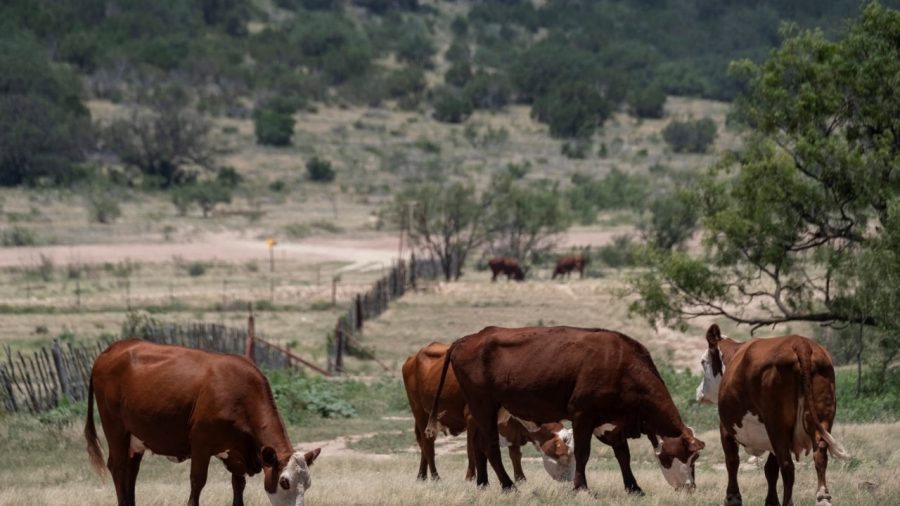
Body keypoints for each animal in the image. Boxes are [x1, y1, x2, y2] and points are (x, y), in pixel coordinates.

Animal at [85, 339, 322, 506]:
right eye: (284, 482)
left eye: (308, 483)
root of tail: (111, 350)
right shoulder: (201, 443)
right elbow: (197, 482)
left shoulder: (236, 452)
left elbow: (238, 487)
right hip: (115, 429)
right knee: (118, 468)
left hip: (137, 438)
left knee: (131, 472)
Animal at [402, 342, 574, 483]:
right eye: (564, 455)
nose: (571, 481)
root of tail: (414, 357)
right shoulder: (472, 419)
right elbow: (472, 450)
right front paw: (471, 479)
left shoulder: (512, 429)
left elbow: (515, 455)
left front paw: (520, 479)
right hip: (419, 410)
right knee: (428, 445)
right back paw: (435, 477)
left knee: (424, 445)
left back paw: (422, 476)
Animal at [426, 326, 705, 494]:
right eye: (687, 455)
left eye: (696, 458)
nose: (691, 487)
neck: (622, 364)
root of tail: (466, 339)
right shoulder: (583, 415)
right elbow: (583, 453)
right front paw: (581, 487)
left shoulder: (612, 422)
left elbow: (622, 455)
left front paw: (634, 487)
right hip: (483, 404)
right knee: (490, 446)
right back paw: (507, 486)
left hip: (490, 409)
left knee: (479, 445)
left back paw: (483, 484)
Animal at [696, 324, 849, 506]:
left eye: (703, 362)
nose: (699, 391)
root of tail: (800, 342)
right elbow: (770, 469)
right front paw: (771, 501)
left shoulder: (726, 428)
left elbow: (732, 461)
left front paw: (732, 497)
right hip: (822, 419)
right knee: (819, 456)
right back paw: (822, 498)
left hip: (777, 425)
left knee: (787, 466)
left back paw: (789, 502)